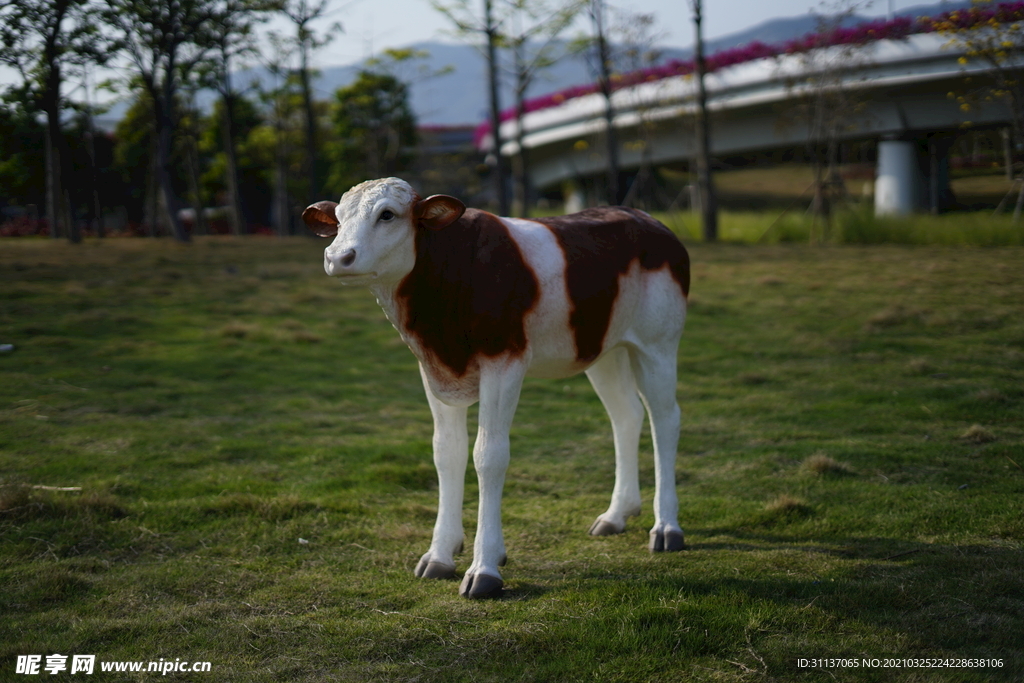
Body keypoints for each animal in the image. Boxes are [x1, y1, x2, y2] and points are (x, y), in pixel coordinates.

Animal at [301, 176, 688, 598]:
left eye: (387, 214)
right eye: (338, 218)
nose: (338, 257)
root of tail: (651, 221)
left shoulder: (504, 360)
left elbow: (488, 455)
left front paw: (483, 569)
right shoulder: (433, 370)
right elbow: (447, 453)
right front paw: (439, 556)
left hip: (658, 342)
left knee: (665, 419)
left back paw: (667, 528)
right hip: (604, 349)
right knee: (626, 415)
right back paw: (617, 515)